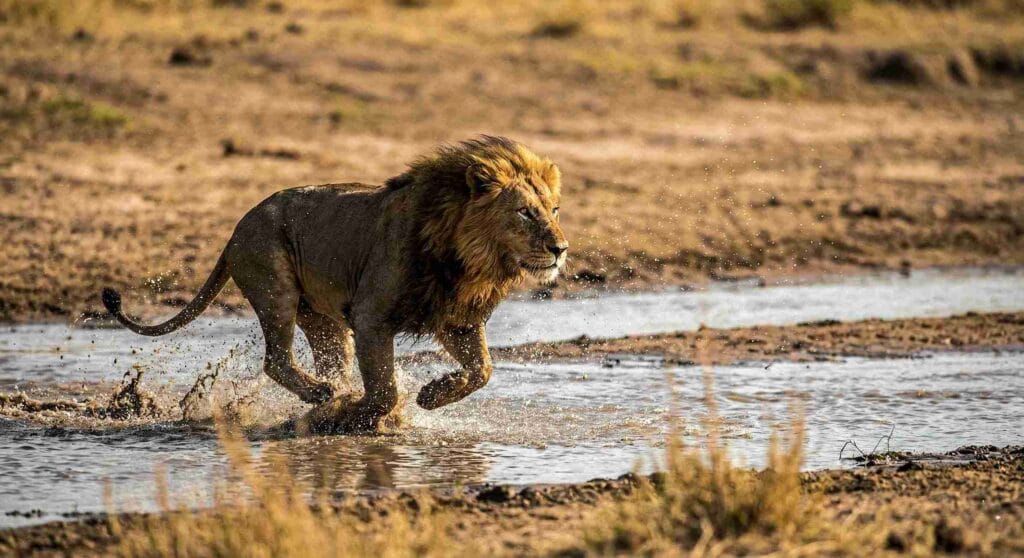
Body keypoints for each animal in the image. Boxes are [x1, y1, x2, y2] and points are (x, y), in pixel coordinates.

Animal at [101, 136, 568, 432]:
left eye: (555, 209)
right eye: (525, 212)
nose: (561, 248)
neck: (467, 262)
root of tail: (235, 230)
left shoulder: (458, 321)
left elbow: (482, 371)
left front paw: (431, 396)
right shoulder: (371, 316)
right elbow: (385, 389)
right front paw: (361, 415)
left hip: (322, 320)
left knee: (324, 361)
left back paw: (330, 397)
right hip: (275, 288)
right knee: (276, 359)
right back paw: (323, 395)